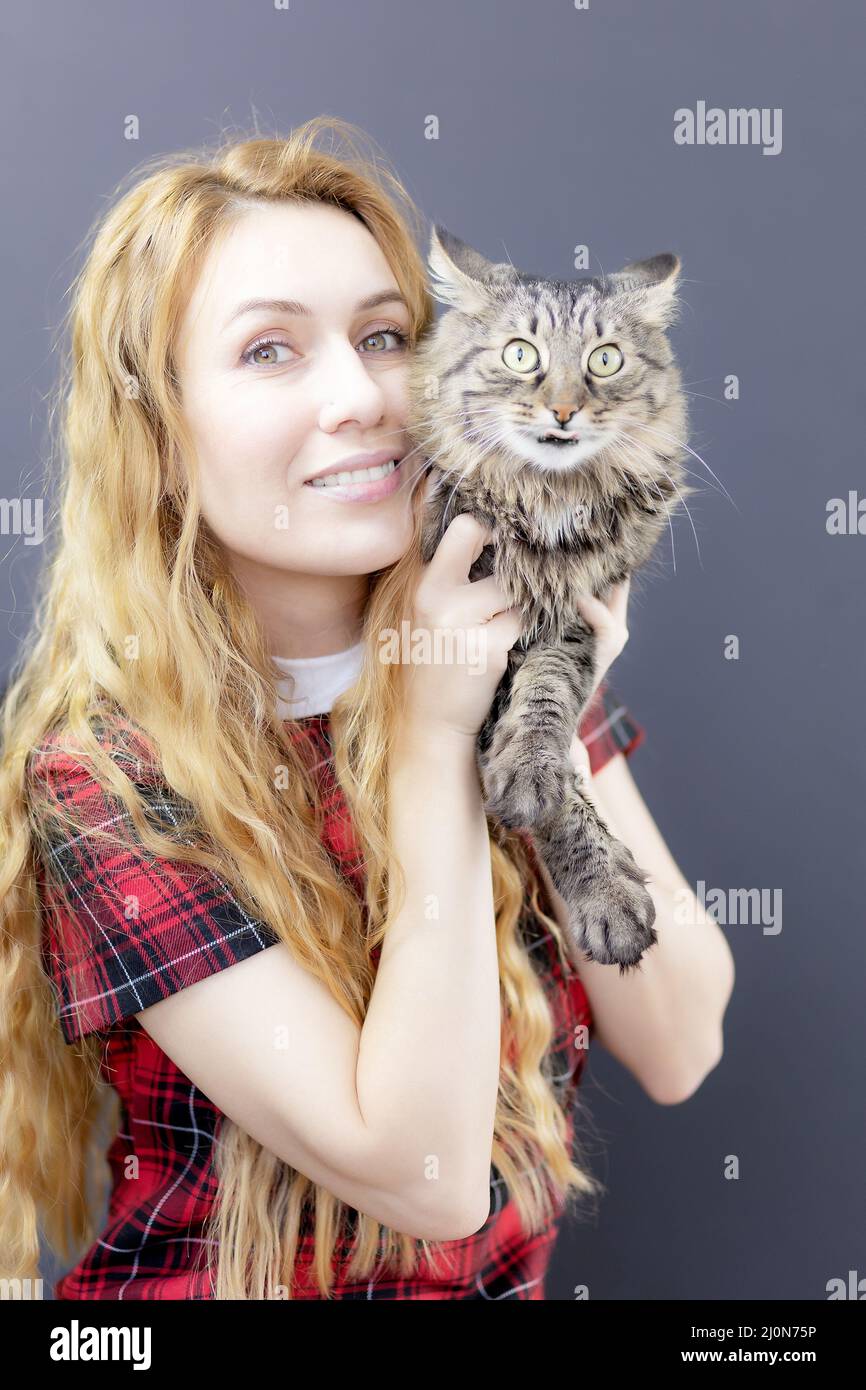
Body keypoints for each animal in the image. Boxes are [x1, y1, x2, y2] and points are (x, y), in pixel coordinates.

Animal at [408, 225, 697, 967]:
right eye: (521, 353)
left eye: (605, 359)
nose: (565, 409)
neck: (547, 507)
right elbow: (561, 801)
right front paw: (607, 893)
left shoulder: (580, 613)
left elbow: (548, 699)